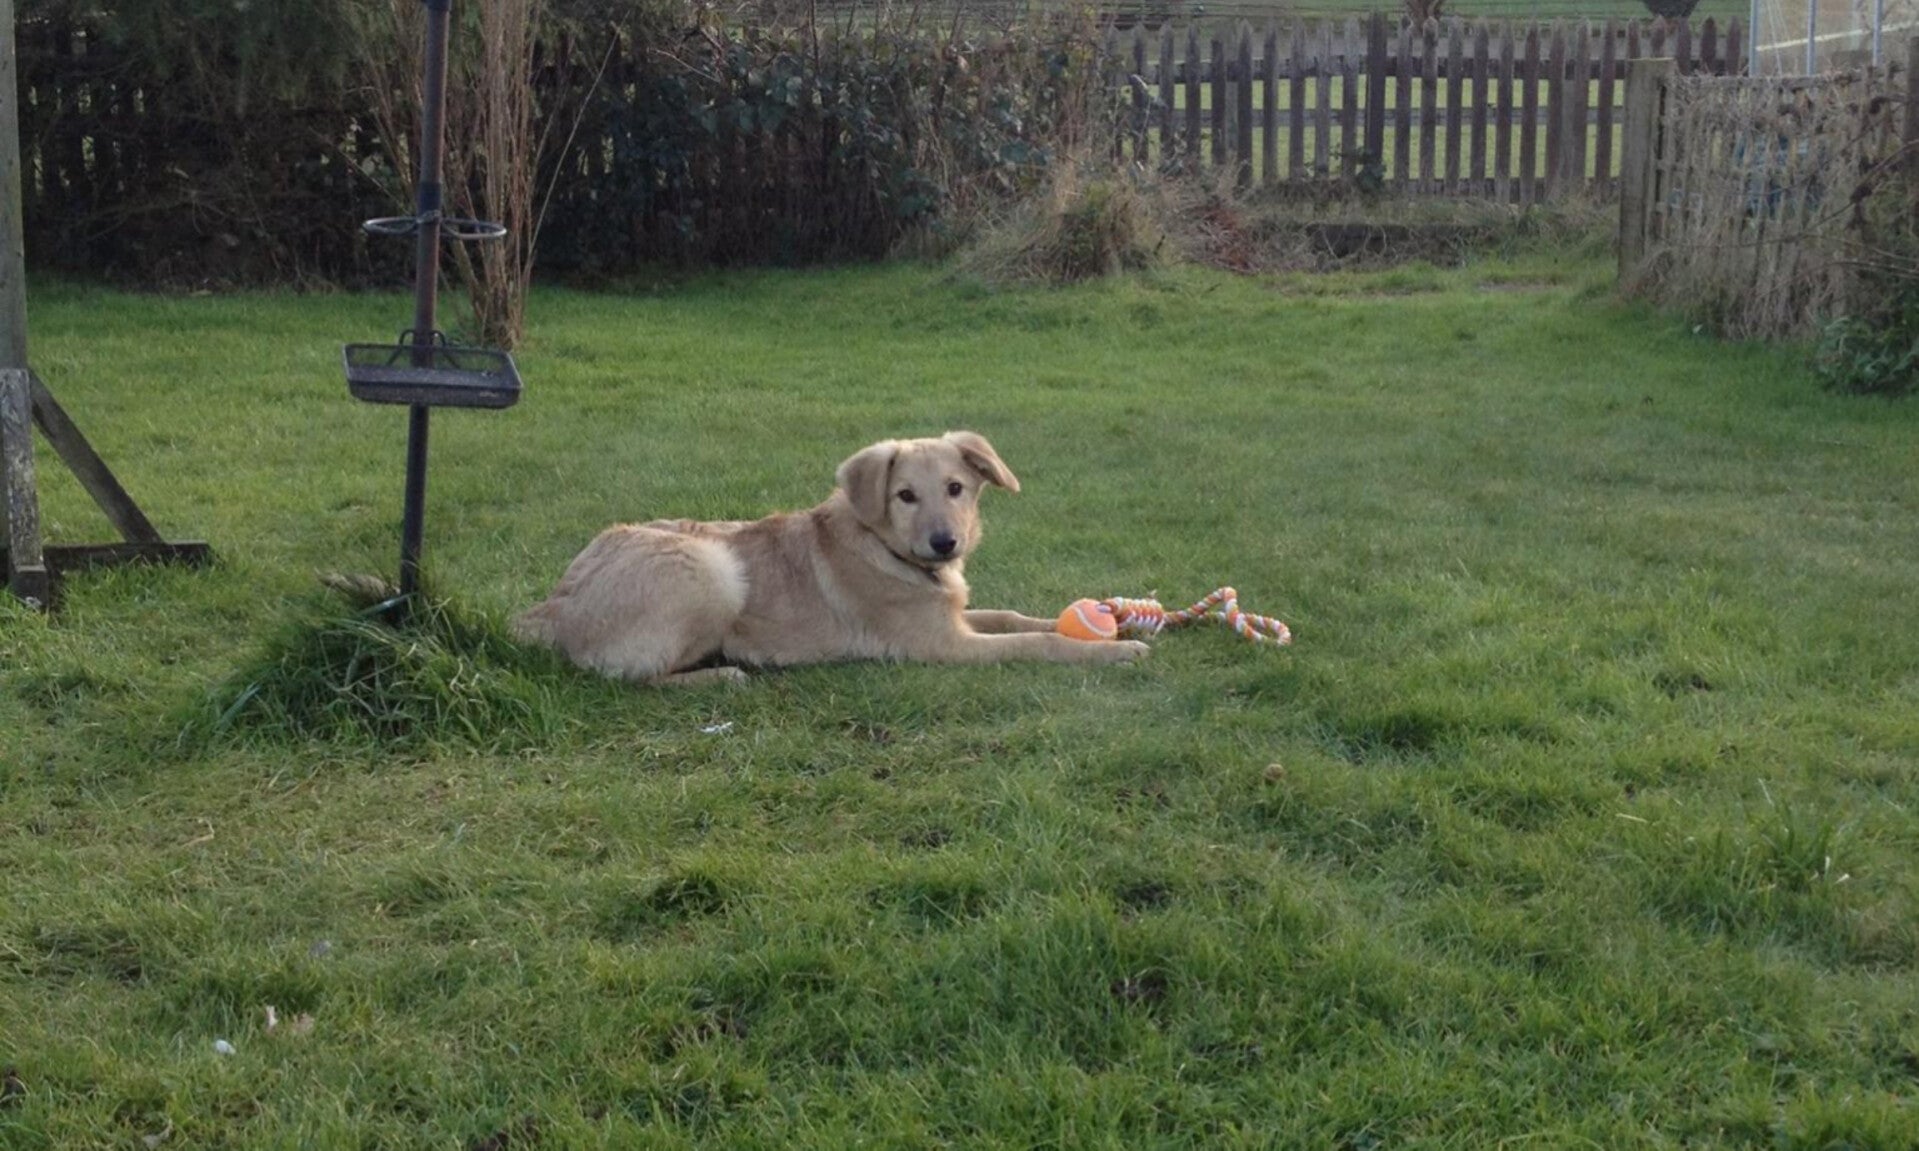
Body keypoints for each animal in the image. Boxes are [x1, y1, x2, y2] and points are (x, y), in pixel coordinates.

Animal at [513, 431, 1149, 684]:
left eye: (956, 489)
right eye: (904, 496)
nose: (945, 543)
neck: (888, 550)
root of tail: (550, 607)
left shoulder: (955, 616)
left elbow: (1015, 617)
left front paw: (1113, 623)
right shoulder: (945, 646)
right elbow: (1035, 642)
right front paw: (1115, 651)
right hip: (712, 570)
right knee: (634, 677)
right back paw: (722, 675)